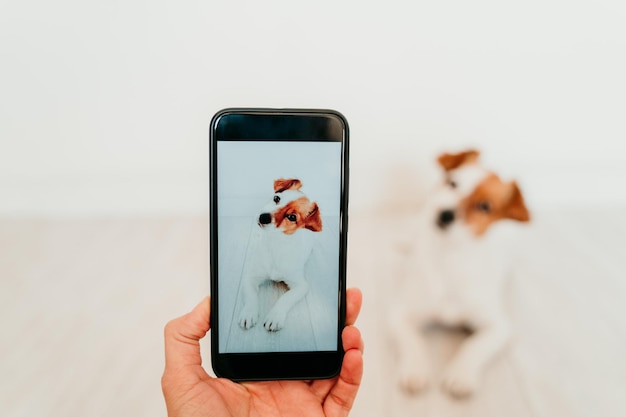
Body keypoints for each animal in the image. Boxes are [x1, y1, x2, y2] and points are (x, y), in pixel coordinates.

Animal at [235, 178, 320, 332]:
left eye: (292, 217)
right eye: (276, 198)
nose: (263, 217)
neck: (276, 243)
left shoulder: (301, 286)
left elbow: (286, 298)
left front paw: (275, 316)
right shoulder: (250, 278)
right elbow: (251, 297)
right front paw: (249, 313)